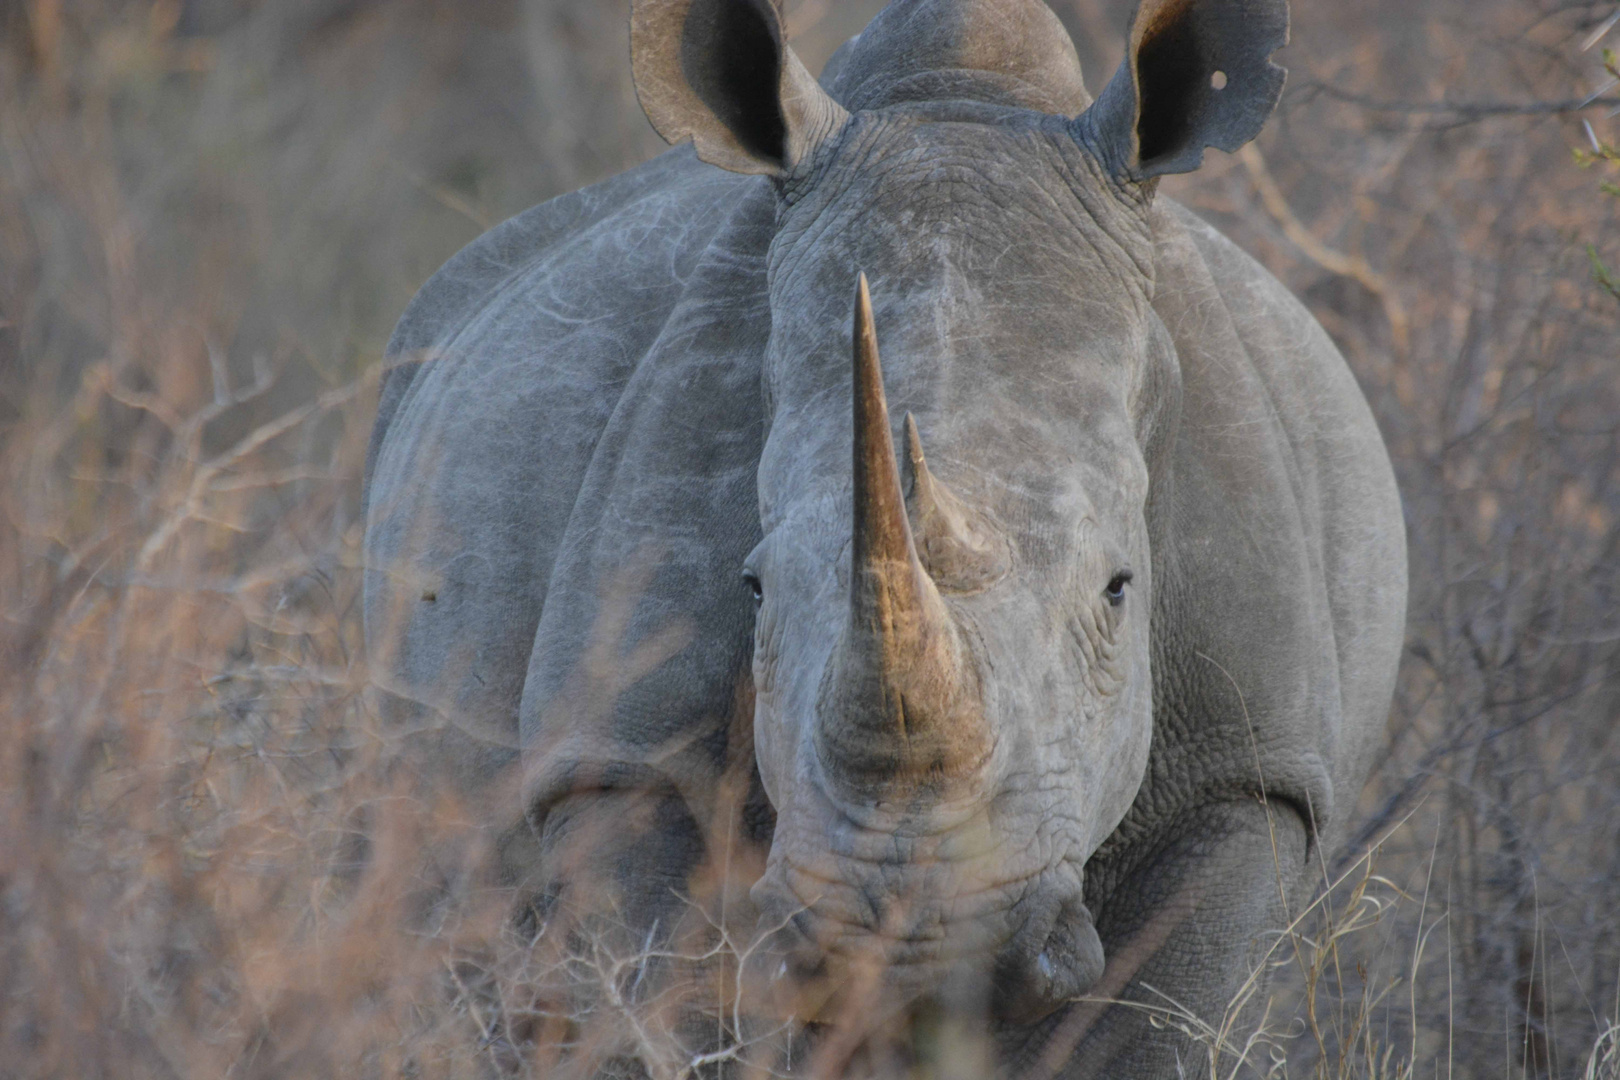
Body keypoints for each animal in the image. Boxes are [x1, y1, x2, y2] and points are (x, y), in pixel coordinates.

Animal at [367, 2, 1406, 1075]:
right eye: (753, 588)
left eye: (1120, 589)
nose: (913, 944)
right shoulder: (621, 755)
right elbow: (669, 1006)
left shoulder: (1247, 771)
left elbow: (1161, 1028)